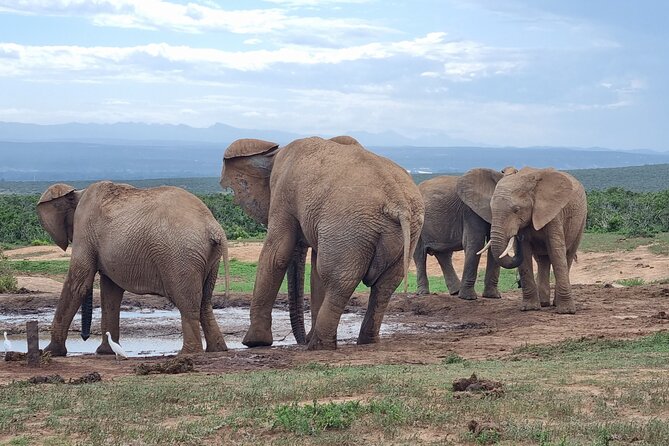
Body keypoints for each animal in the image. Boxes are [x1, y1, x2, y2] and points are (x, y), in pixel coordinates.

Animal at [36, 181, 230, 356]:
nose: (84, 337)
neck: (78, 193)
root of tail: (214, 227)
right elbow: (111, 292)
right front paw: (105, 352)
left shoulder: (84, 229)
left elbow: (78, 283)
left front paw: (50, 352)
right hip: (208, 258)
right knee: (205, 301)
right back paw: (217, 349)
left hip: (180, 255)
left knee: (187, 302)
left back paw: (188, 353)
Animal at [220, 136, 424, 350]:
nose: (299, 340)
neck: (274, 154)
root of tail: (398, 201)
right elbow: (314, 271)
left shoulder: (283, 197)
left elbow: (277, 255)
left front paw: (254, 342)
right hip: (404, 231)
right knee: (385, 284)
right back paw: (363, 341)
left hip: (350, 226)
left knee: (338, 281)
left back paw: (318, 345)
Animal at [414, 170, 504, 300]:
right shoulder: (470, 211)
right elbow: (475, 243)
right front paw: (468, 298)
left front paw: (493, 296)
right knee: (420, 255)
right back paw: (423, 293)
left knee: (444, 255)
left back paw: (456, 292)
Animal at [458, 167, 587, 314]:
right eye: (491, 209)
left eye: (516, 210)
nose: (517, 236)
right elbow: (525, 252)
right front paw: (530, 308)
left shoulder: (554, 214)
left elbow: (556, 251)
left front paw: (566, 311)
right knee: (542, 260)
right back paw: (543, 303)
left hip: (581, 220)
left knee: (568, 255)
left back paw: (554, 303)